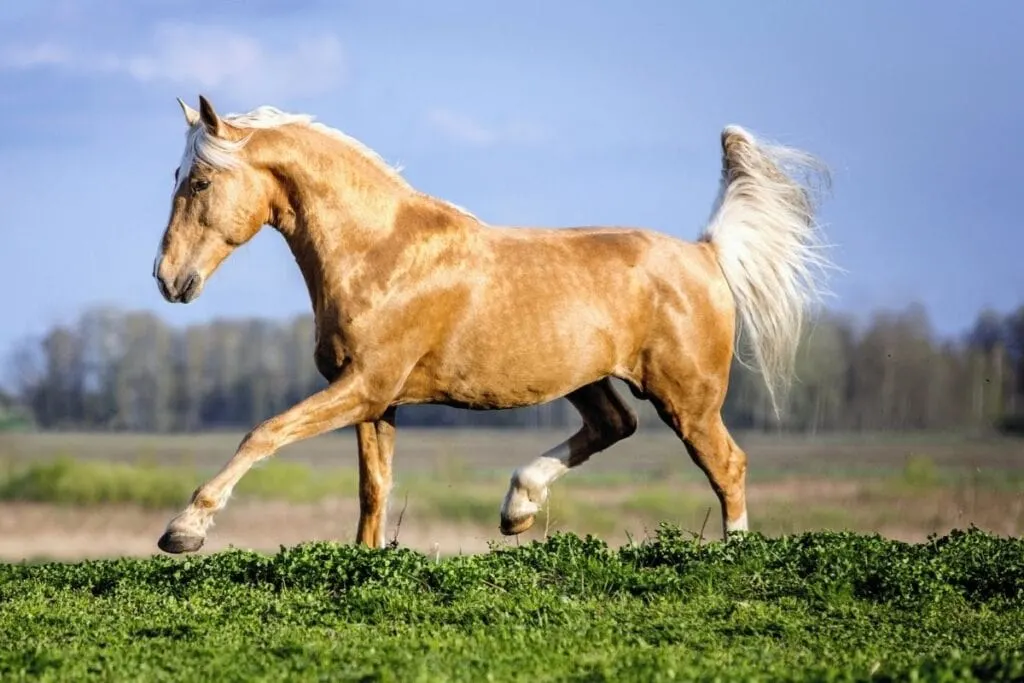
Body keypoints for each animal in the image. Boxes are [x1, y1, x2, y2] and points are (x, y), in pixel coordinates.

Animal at [153, 94, 839, 557]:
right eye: (177, 177)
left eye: (201, 180)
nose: (166, 279)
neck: (379, 251)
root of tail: (705, 253)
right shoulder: (376, 401)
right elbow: (374, 493)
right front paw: (365, 564)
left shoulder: (364, 388)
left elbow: (264, 433)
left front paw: (184, 529)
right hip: (586, 378)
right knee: (615, 425)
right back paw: (518, 507)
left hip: (688, 398)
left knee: (728, 465)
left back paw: (731, 557)